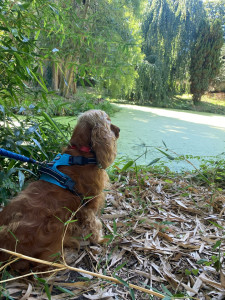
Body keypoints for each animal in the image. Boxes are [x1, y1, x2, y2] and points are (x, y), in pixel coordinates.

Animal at [0, 109, 119, 272]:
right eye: (109, 121)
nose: (118, 130)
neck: (80, 153)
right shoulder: (88, 205)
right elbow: (94, 224)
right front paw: (99, 239)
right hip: (55, 225)